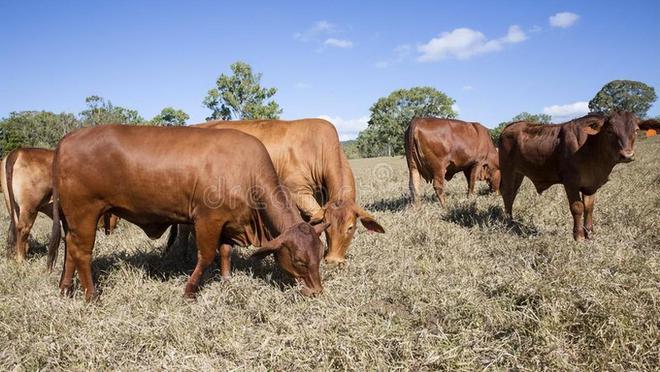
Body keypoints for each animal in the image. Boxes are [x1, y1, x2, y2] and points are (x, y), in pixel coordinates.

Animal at [47, 126, 328, 300]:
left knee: (70, 248)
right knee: (82, 253)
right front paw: (190, 290)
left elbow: (225, 252)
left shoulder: (227, 222)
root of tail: (66, 140)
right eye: (300, 260)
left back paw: (65, 289)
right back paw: (92, 296)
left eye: (320, 254)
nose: (316, 292)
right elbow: (205, 256)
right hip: (85, 213)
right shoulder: (207, 220)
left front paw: (226, 281)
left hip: (74, 219)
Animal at [173, 119, 384, 264]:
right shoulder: (298, 192)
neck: (317, 149)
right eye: (329, 226)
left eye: (350, 227)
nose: (332, 261)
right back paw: (184, 256)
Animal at [500, 111, 640, 241]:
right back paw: (508, 221)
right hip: (507, 170)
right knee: (507, 193)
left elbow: (589, 207)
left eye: (636, 130)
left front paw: (589, 234)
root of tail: (511, 126)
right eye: (609, 130)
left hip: (518, 173)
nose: (627, 155)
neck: (591, 146)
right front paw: (579, 236)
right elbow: (577, 207)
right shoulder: (571, 182)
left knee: (513, 194)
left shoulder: (590, 186)